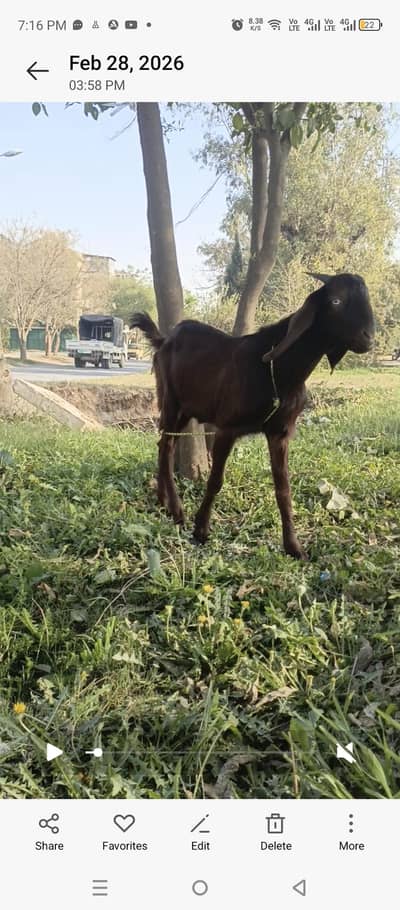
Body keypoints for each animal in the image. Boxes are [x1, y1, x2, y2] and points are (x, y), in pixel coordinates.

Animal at [132, 273, 375, 559]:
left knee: (163, 444)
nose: (369, 337)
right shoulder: (227, 427)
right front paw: (200, 530)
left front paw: (294, 547)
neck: (277, 371)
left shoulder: (280, 432)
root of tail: (164, 339)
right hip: (170, 398)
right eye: (336, 301)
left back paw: (163, 502)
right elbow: (215, 480)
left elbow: (284, 489)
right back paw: (178, 511)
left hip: (187, 407)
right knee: (167, 444)